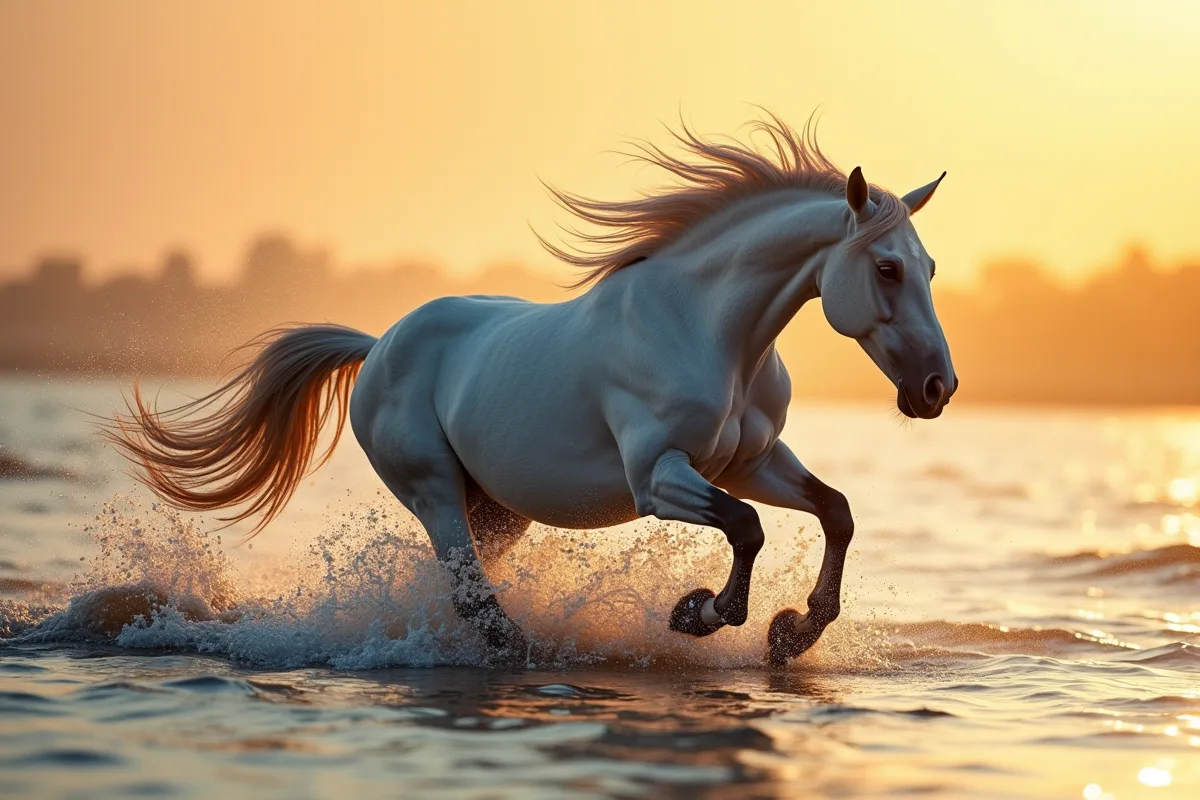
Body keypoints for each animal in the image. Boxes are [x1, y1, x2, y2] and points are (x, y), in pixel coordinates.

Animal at [106, 115, 956, 666]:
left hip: (498, 508)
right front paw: (701, 613)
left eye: (931, 267)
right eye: (887, 268)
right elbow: (746, 530)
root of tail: (379, 346)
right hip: (433, 491)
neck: (709, 330)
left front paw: (792, 632)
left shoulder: (751, 461)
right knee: (475, 601)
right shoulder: (659, 477)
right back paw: (525, 655)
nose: (937, 387)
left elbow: (835, 511)